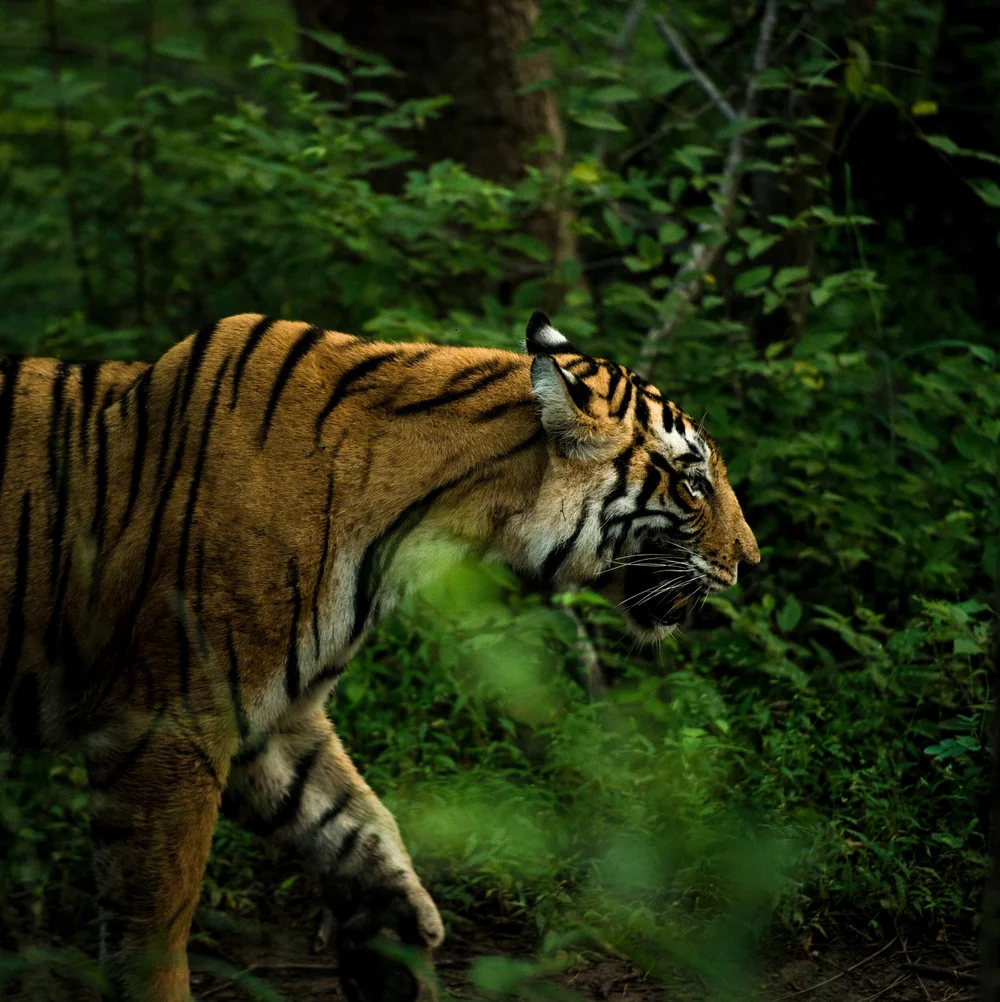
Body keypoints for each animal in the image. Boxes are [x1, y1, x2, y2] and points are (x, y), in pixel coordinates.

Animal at [0, 311, 758, 1002]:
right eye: (693, 482)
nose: (751, 562)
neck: (425, 525)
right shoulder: (171, 720)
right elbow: (156, 916)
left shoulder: (273, 721)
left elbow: (357, 828)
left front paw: (393, 948)